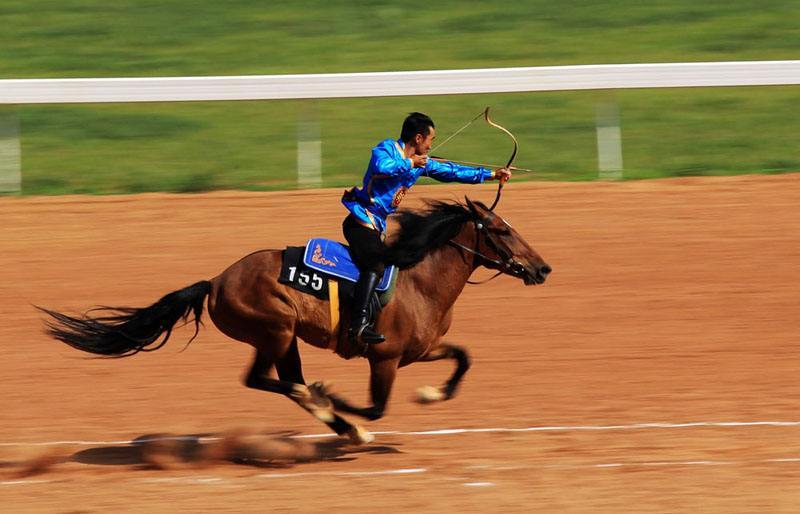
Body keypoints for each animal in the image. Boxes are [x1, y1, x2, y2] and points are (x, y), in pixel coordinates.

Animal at [37, 198, 552, 442]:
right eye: (501, 230)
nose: (543, 268)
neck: (418, 280)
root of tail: (215, 281)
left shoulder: (419, 352)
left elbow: (463, 358)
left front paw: (431, 394)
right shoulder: (383, 358)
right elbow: (375, 407)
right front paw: (339, 397)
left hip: (284, 340)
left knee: (283, 381)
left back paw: (334, 418)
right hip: (277, 330)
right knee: (266, 380)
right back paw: (327, 404)